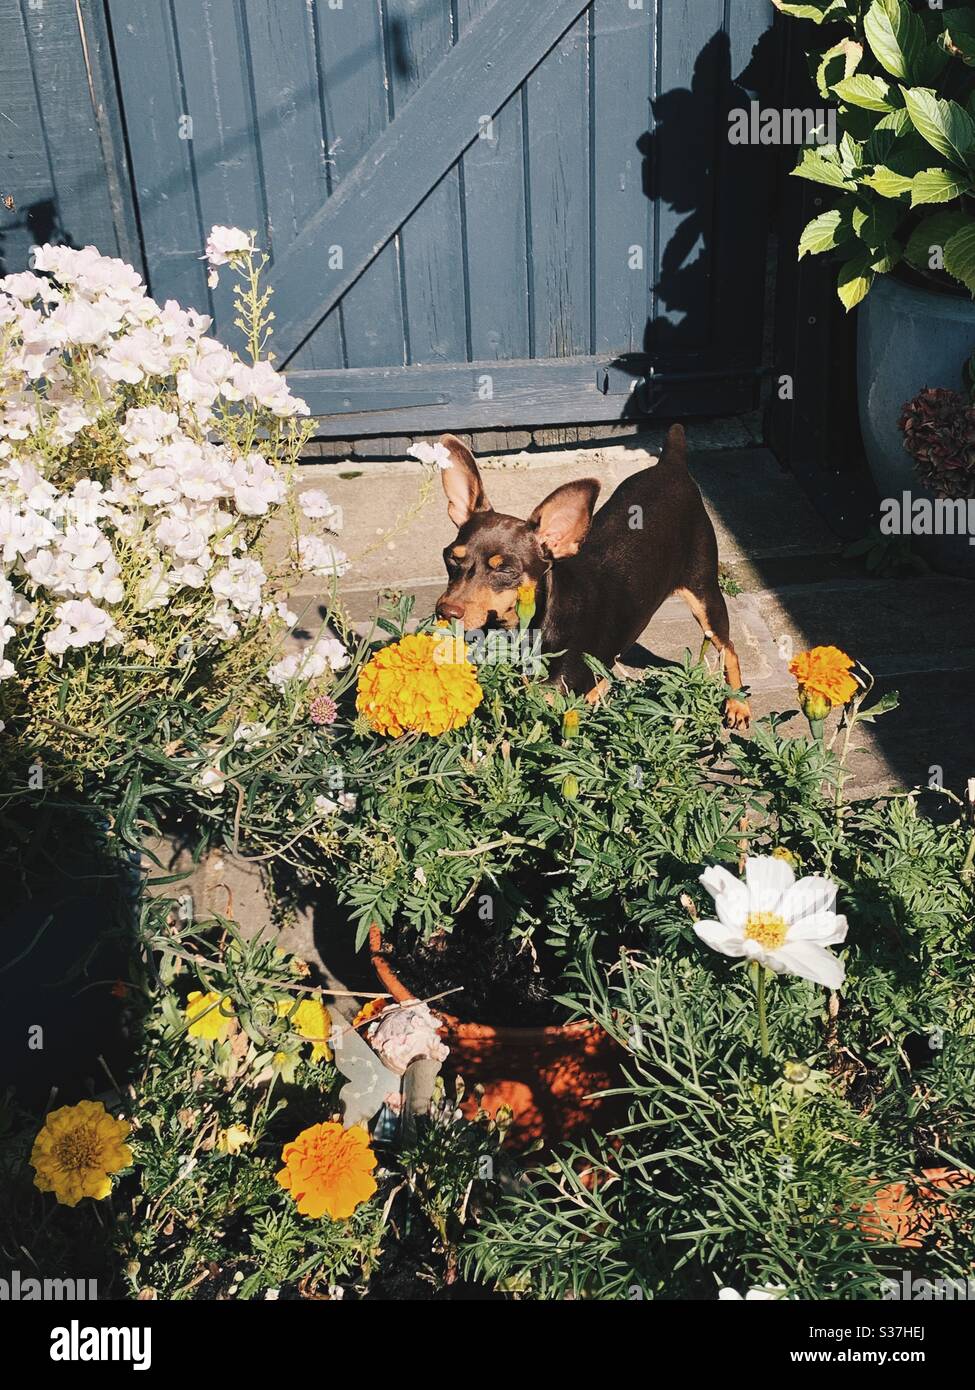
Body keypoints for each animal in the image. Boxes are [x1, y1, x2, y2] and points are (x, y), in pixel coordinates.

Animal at [431, 422, 745, 728]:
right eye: (451, 558)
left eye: (506, 570)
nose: (446, 611)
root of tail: (672, 463)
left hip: (705, 593)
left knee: (728, 647)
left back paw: (738, 704)